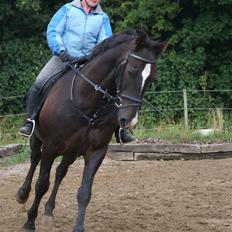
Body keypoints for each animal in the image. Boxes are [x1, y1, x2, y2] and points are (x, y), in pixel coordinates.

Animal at [16, 29, 166, 231]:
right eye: (132, 70)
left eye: (152, 78)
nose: (129, 120)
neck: (87, 102)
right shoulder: (50, 147)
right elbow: (42, 184)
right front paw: (29, 222)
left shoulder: (96, 151)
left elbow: (85, 192)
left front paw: (78, 226)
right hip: (39, 140)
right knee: (34, 160)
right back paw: (23, 194)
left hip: (71, 151)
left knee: (60, 172)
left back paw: (48, 210)